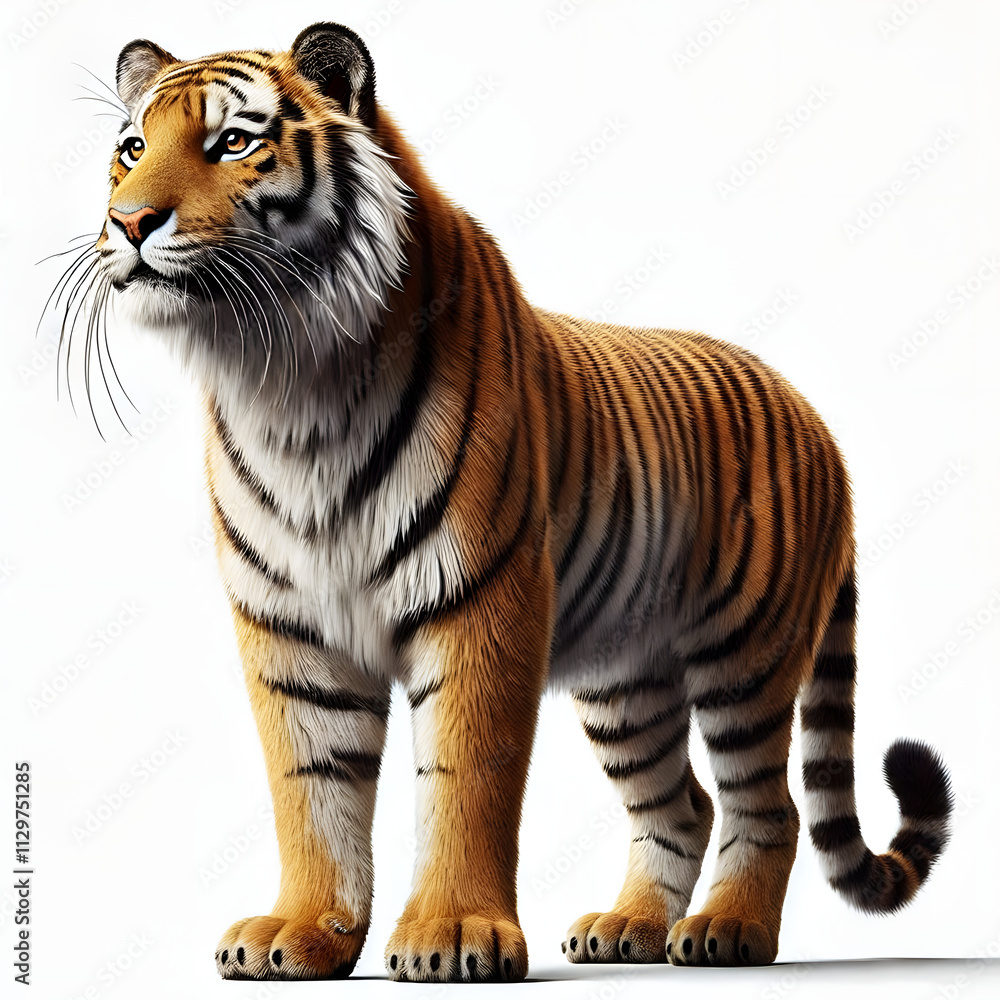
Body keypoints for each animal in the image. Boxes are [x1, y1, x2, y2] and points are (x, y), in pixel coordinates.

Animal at [54, 21, 952, 981]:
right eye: (132, 149)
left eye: (231, 141)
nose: (128, 222)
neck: (283, 380)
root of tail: (817, 420)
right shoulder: (289, 628)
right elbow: (310, 791)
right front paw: (300, 933)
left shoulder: (482, 600)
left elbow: (464, 780)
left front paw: (453, 935)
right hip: (628, 681)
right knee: (681, 805)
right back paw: (628, 928)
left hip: (748, 651)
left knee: (765, 804)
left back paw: (727, 931)